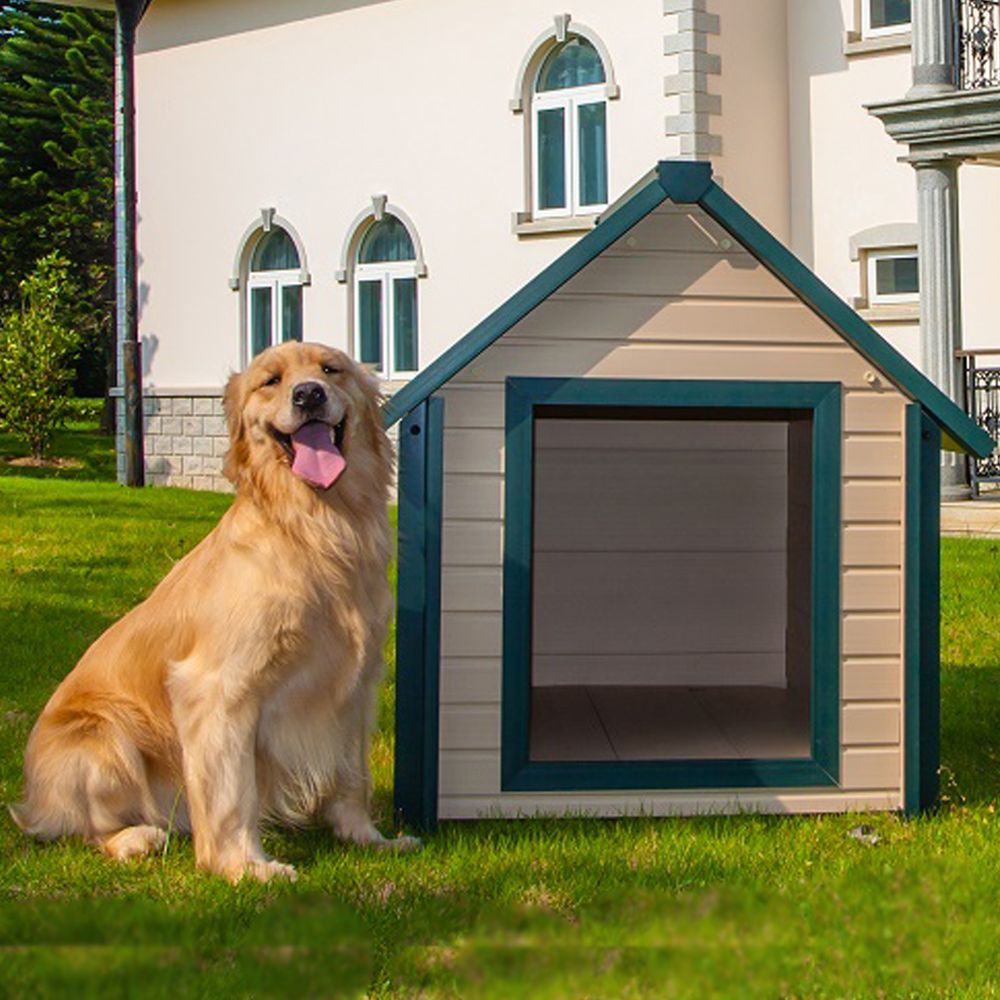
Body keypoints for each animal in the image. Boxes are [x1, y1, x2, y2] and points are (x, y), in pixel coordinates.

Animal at [10, 344, 414, 884]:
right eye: (271, 380)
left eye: (331, 370)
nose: (309, 395)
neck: (314, 528)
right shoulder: (218, 689)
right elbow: (231, 793)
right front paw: (242, 866)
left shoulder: (354, 684)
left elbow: (353, 776)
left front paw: (368, 839)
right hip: (103, 738)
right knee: (73, 827)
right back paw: (135, 836)